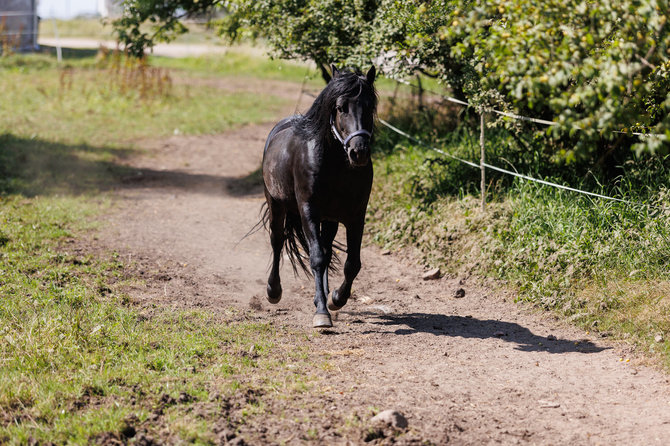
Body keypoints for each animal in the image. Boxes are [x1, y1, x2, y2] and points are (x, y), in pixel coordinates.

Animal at [262, 64, 378, 326]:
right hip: (276, 204)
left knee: (326, 249)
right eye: (340, 107)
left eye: (369, 106)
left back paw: (322, 296)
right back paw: (274, 291)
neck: (335, 165)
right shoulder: (309, 213)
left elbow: (352, 264)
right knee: (277, 241)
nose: (359, 152)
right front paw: (322, 314)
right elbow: (316, 258)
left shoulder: (355, 216)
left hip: (330, 220)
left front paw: (335, 299)